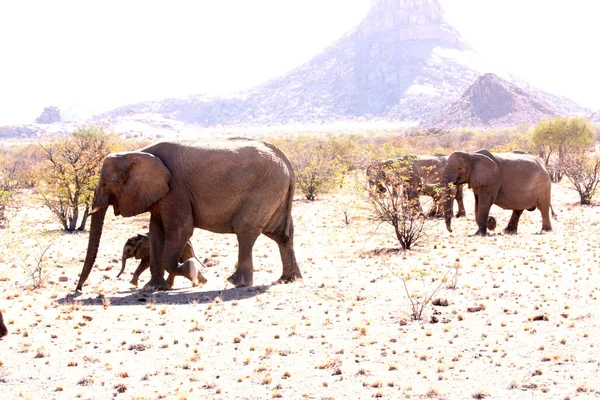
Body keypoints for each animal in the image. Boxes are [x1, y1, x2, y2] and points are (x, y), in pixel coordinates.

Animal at [77, 139, 302, 292]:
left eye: (107, 184)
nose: (78, 290)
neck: (137, 153)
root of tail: (287, 164)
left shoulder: (176, 191)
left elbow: (181, 230)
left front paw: (193, 273)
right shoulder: (160, 195)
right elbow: (156, 234)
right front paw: (154, 288)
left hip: (263, 191)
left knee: (245, 230)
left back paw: (237, 282)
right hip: (276, 195)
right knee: (282, 235)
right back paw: (288, 279)